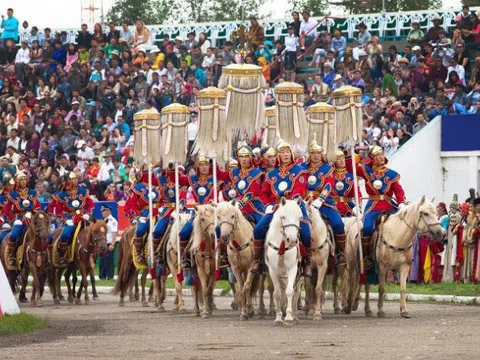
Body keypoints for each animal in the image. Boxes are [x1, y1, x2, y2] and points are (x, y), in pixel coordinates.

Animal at [264, 197, 302, 326]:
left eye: (299, 217)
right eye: (283, 217)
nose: (293, 240)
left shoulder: (293, 269)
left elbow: (290, 291)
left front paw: (289, 317)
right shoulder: (272, 271)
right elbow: (277, 294)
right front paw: (279, 317)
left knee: (296, 291)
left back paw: (294, 316)